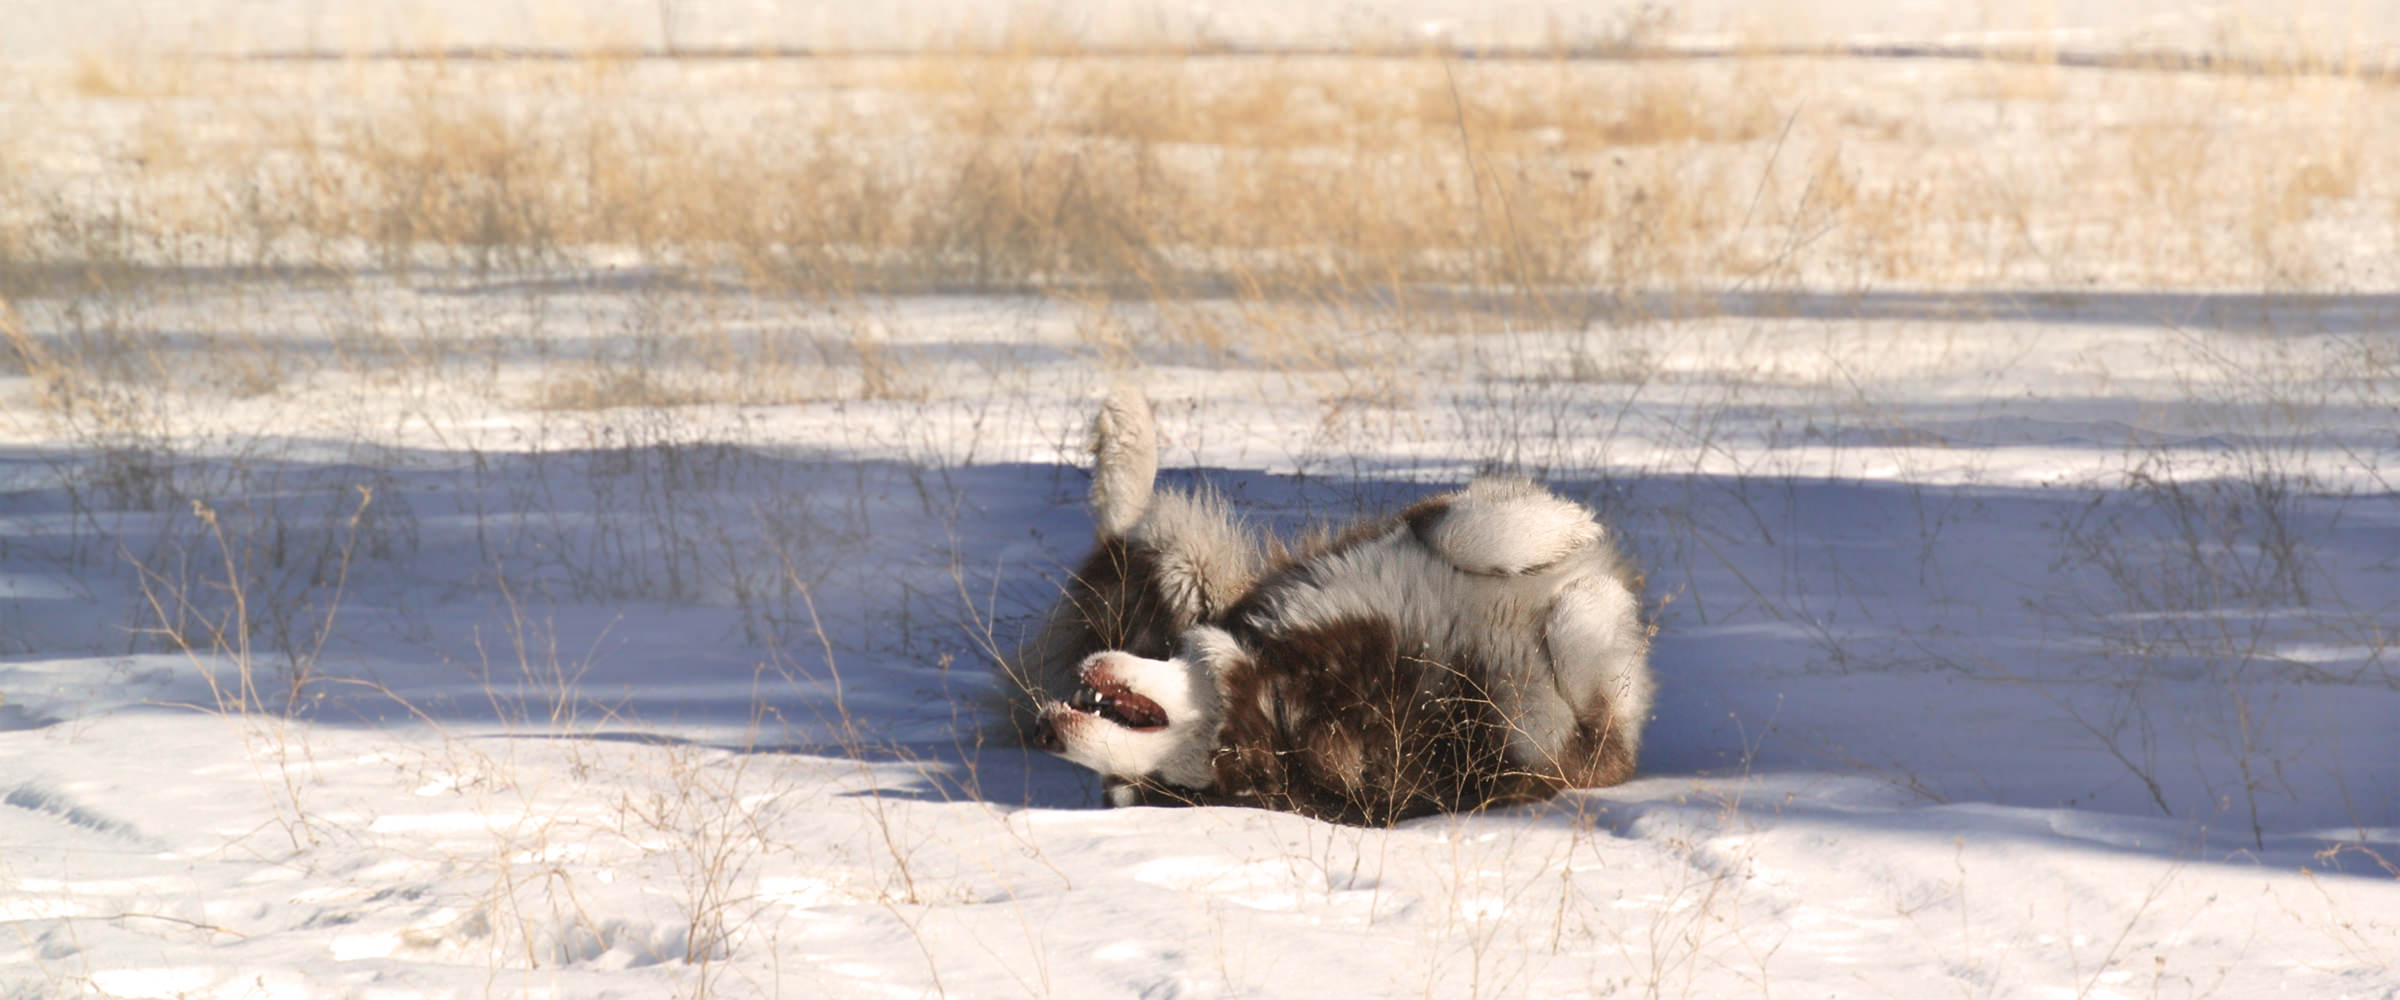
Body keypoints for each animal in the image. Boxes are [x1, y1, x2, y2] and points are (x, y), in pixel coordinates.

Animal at [993, 390, 1651, 824]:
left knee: (1128, 529)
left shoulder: (1397, 538)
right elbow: (1586, 673)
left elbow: (1470, 531)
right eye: (1132, 790)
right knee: (1125, 531)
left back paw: (1124, 430)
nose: (1045, 732)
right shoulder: (1560, 752)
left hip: (1187, 576)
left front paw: (1566, 533)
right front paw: (1592, 603)